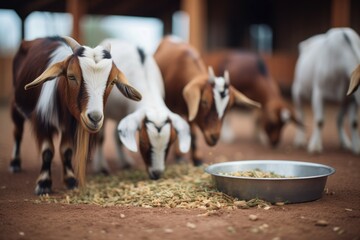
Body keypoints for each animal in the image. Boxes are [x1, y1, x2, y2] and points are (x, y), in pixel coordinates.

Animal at [9, 36, 142, 195]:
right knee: (17, 132)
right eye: (71, 76)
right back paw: (15, 164)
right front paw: (43, 184)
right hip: (16, 105)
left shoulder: (69, 124)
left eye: (112, 81)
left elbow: (66, 151)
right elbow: (47, 151)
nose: (95, 118)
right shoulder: (43, 122)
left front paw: (70, 180)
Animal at [93, 39, 193, 178]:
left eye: (169, 144)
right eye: (143, 142)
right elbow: (101, 137)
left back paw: (125, 162)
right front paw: (101, 168)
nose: (156, 174)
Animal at [153, 36, 260, 166]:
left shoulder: (191, 111)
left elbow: (193, 134)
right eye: (204, 102)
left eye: (228, 107)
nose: (214, 137)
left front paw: (197, 159)